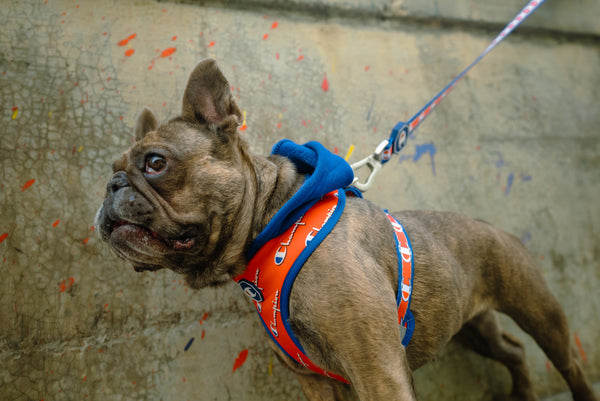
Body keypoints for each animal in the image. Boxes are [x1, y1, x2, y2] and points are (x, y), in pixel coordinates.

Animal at [96, 59, 596, 400]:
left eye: (155, 163)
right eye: (113, 169)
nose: (111, 185)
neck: (276, 225)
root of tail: (489, 224)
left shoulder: (377, 369)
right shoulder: (315, 380)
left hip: (539, 311)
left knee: (568, 360)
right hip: (471, 325)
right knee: (512, 349)